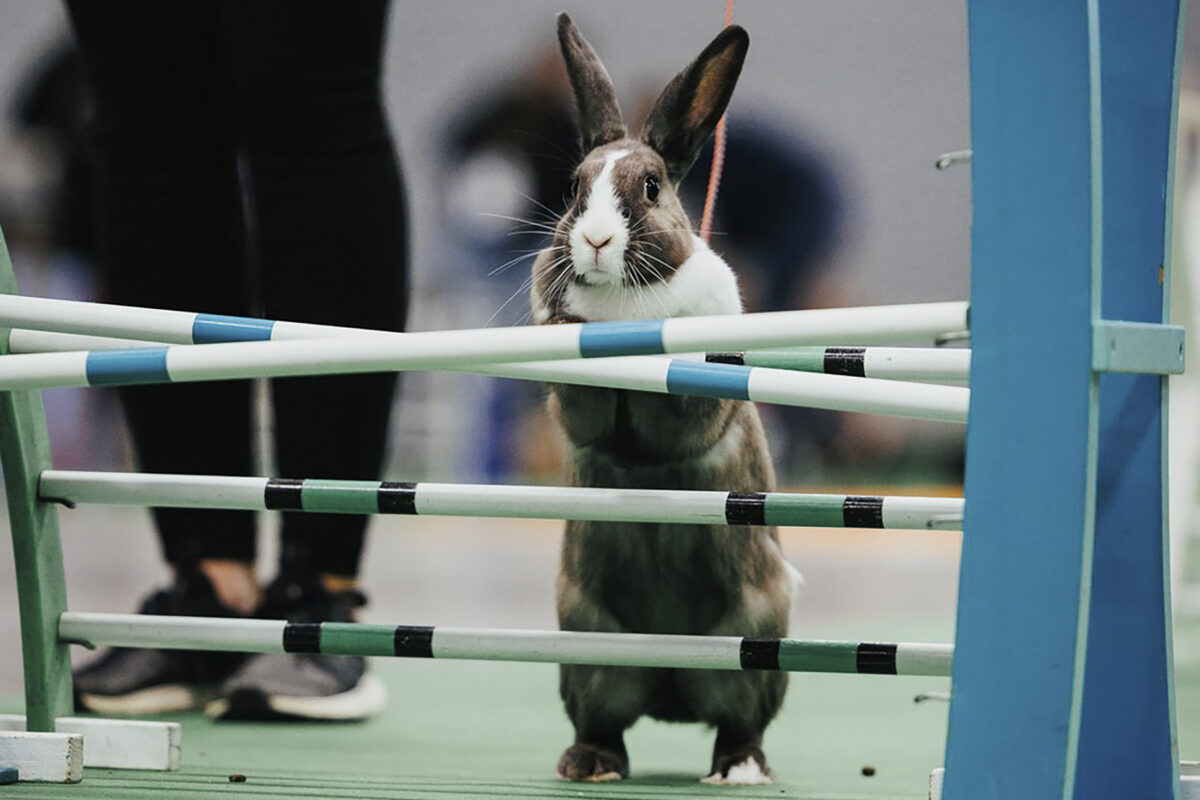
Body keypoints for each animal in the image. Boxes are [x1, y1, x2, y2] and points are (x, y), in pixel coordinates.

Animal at [528, 12, 792, 786]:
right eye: (573, 188)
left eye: (649, 187)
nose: (594, 240)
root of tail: (672, 689)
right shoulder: (578, 415)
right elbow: (590, 412)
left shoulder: (695, 412)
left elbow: (669, 417)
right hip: (588, 648)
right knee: (604, 723)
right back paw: (587, 765)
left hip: (756, 646)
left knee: (740, 723)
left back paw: (738, 770)